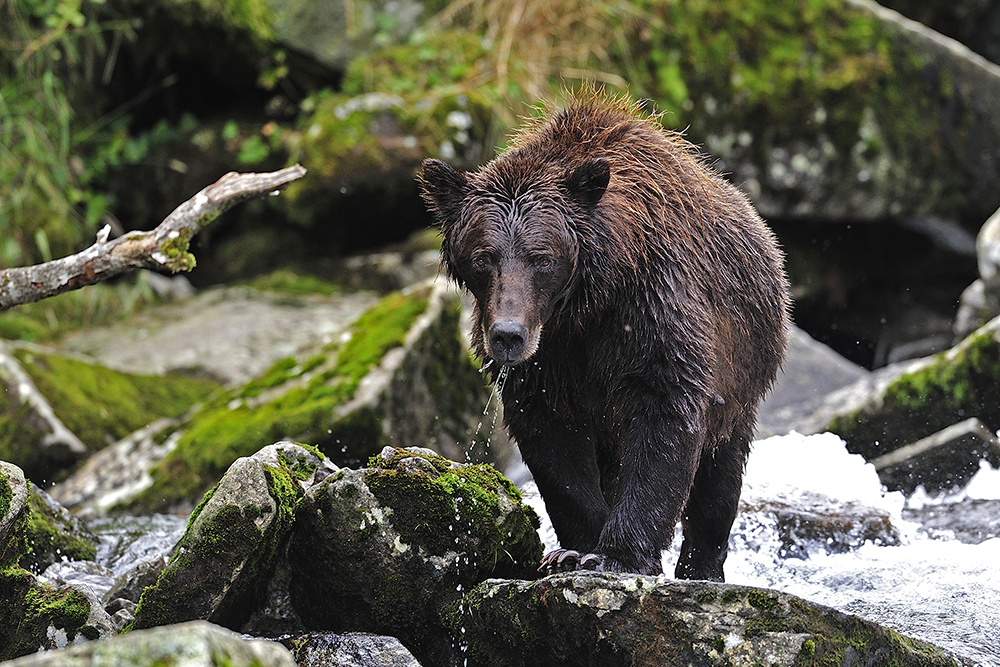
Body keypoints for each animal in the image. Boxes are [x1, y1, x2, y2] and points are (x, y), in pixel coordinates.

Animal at [416, 90, 788, 580]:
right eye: (482, 257)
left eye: (542, 258)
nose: (508, 335)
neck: (585, 304)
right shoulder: (551, 360)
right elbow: (554, 444)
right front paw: (574, 549)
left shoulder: (652, 311)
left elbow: (664, 416)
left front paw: (619, 554)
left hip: (743, 370)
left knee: (720, 472)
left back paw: (702, 567)